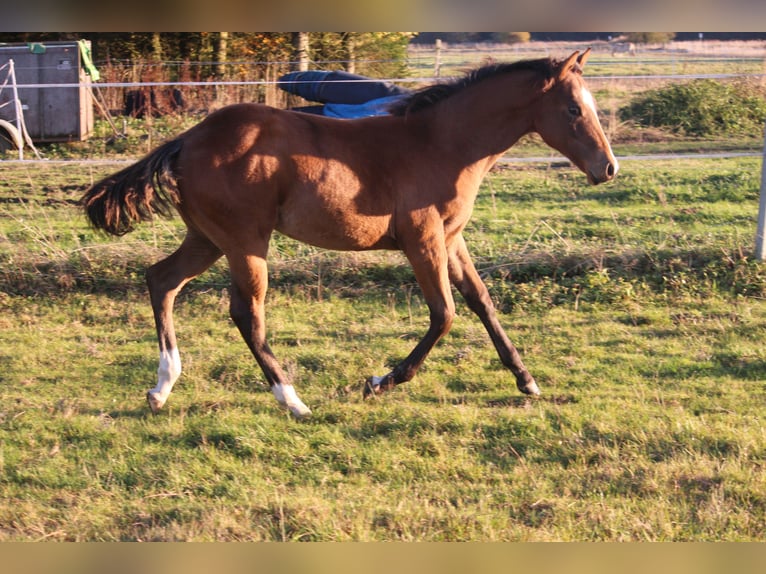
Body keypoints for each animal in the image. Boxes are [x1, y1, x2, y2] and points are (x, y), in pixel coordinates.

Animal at [81, 50, 616, 418]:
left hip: (209, 239)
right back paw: (292, 400)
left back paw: (162, 387)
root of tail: (188, 139)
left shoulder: (451, 240)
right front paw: (381, 381)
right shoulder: (422, 241)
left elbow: (482, 301)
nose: (607, 168)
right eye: (573, 110)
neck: (441, 143)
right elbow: (443, 314)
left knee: (161, 280)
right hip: (246, 243)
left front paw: (526, 380)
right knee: (246, 314)